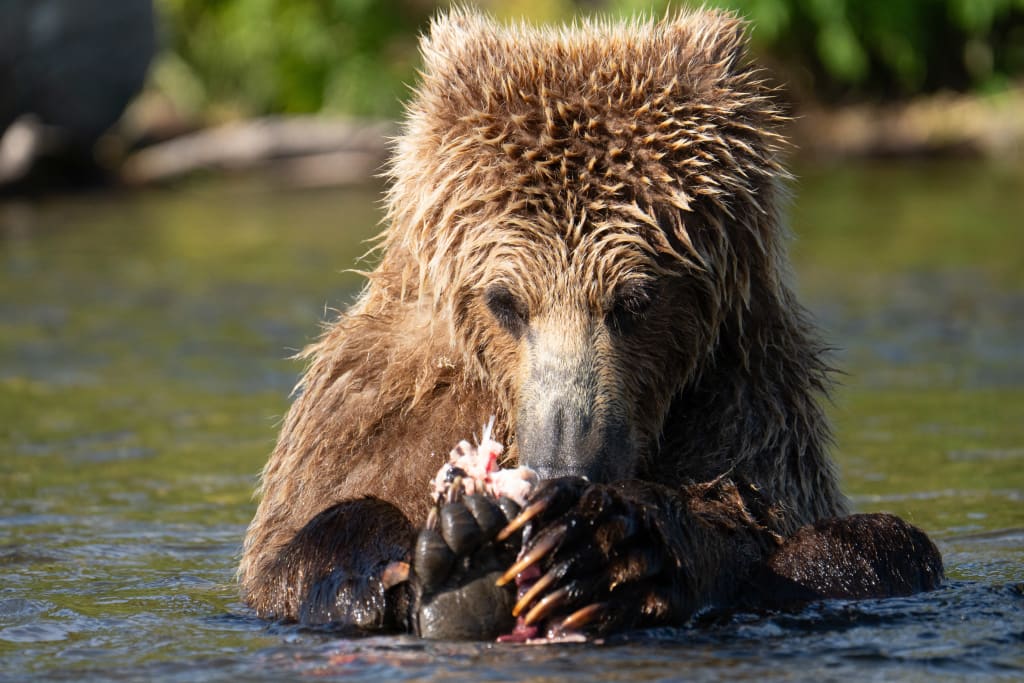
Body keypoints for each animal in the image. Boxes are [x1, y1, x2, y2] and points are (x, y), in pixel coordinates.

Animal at [238, 8, 943, 639]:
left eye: (636, 300)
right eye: (505, 301)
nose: (564, 462)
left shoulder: (746, 402)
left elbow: (755, 520)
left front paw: (601, 547)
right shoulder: (381, 406)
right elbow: (296, 541)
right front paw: (433, 557)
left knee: (873, 546)